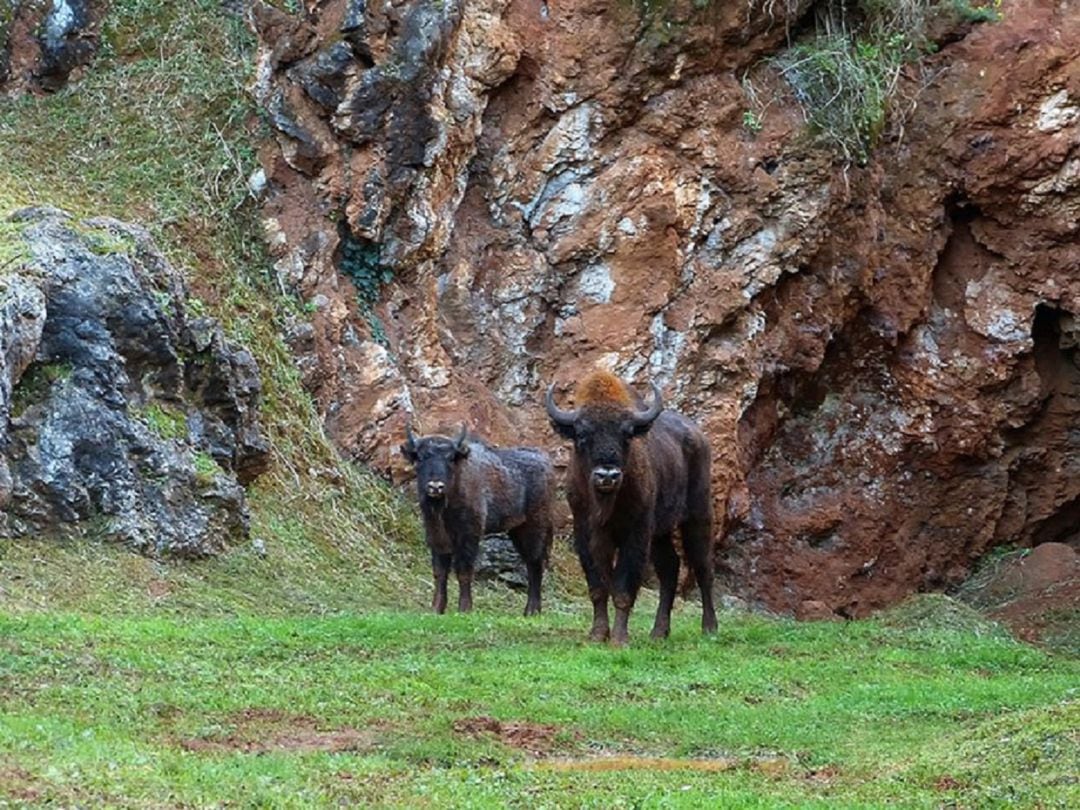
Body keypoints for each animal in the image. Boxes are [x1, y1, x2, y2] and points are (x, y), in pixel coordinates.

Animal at [399, 425, 557, 613]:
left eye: (451, 458)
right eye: (421, 458)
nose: (435, 487)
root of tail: (546, 463)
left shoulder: (468, 535)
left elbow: (464, 571)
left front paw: (464, 609)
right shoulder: (436, 536)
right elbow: (440, 572)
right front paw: (436, 609)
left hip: (534, 528)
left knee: (535, 565)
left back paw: (531, 611)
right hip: (517, 531)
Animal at [548, 373, 717, 648]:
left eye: (627, 434)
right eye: (581, 434)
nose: (607, 475)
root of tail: (698, 436)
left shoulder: (635, 533)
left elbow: (623, 587)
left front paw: (619, 639)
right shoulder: (586, 533)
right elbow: (598, 585)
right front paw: (597, 635)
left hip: (697, 517)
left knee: (703, 567)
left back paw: (710, 628)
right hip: (660, 534)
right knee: (670, 568)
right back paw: (658, 632)